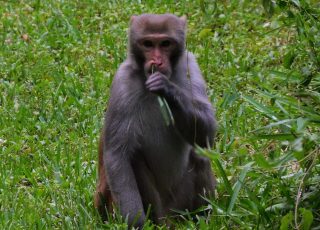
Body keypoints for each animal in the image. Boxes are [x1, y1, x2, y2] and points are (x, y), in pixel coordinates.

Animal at [94, 14, 216, 228]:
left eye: (165, 43)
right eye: (148, 44)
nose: (156, 62)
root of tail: (172, 217)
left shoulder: (190, 65)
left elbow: (207, 132)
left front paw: (167, 89)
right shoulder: (122, 81)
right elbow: (117, 155)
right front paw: (136, 222)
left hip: (181, 204)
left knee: (200, 153)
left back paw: (203, 216)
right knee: (134, 157)